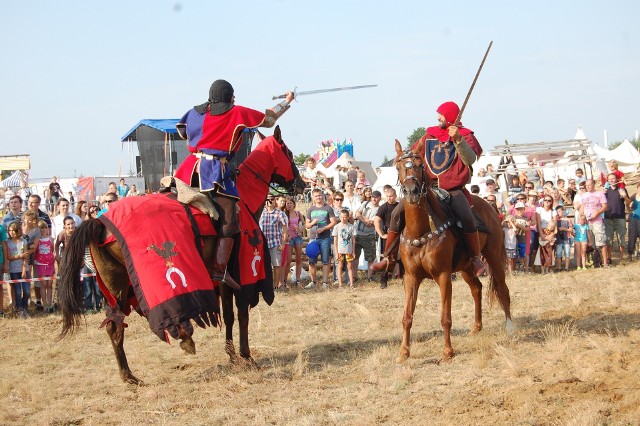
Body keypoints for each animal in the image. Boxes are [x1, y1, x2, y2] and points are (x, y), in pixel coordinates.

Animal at [58, 127, 304, 386]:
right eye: (288, 153)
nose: (301, 184)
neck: (244, 199)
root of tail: (98, 221)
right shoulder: (242, 275)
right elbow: (242, 314)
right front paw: (246, 356)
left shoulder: (224, 279)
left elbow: (228, 316)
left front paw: (232, 355)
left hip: (116, 285)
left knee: (114, 327)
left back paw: (130, 376)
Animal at [392, 140, 512, 362]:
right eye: (398, 167)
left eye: (420, 165)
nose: (412, 191)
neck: (421, 231)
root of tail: (491, 206)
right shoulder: (411, 277)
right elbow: (407, 317)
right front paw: (404, 352)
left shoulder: (443, 276)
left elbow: (445, 317)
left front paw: (448, 351)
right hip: (466, 267)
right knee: (477, 288)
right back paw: (476, 327)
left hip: (493, 257)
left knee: (502, 289)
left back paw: (510, 326)